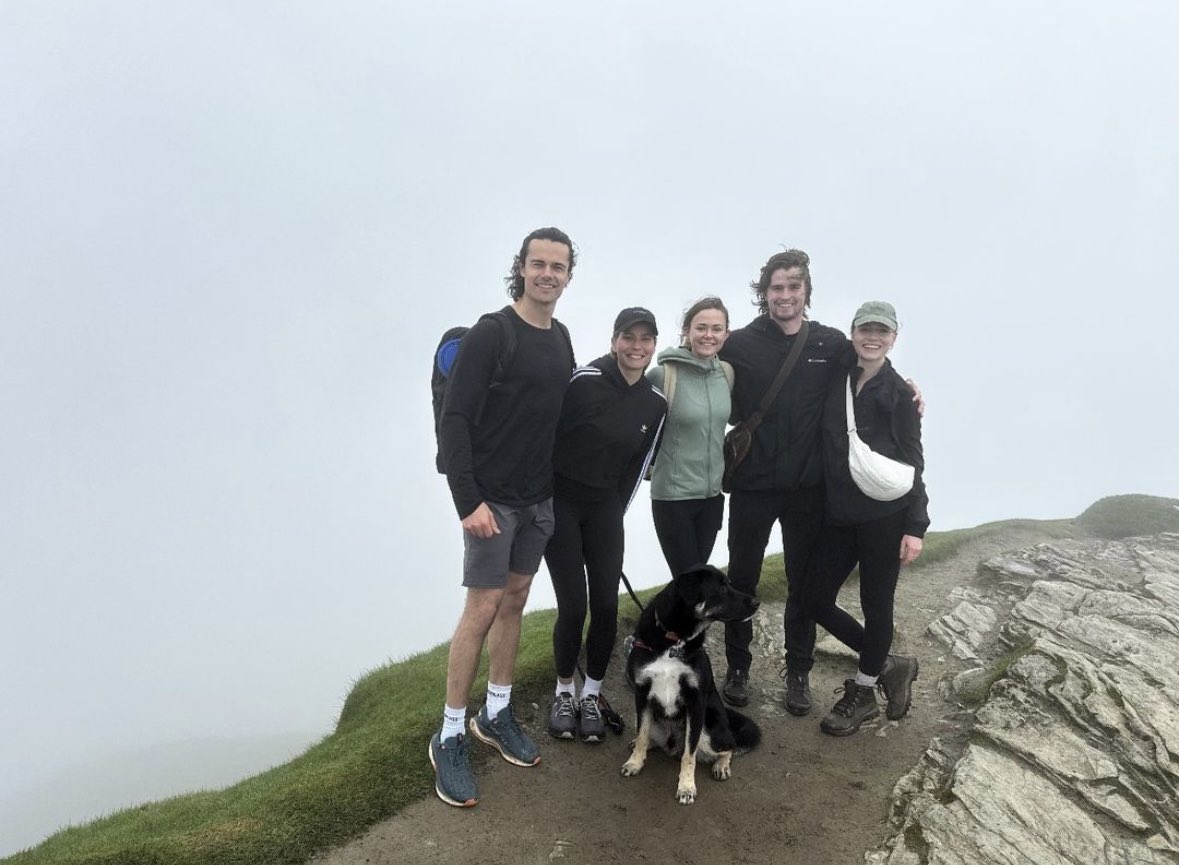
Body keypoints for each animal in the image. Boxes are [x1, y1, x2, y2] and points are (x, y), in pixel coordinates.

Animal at [622, 563, 759, 806]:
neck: (674, 641)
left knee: (729, 746)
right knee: (646, 735)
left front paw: (686, 788)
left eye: (729, 584)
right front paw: (635, 762)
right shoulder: (642, 693)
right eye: (721, 588)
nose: (756, 602)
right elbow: (642, 734)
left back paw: (721, 766)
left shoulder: (696, 703)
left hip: (708, 729)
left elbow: (689, 755)